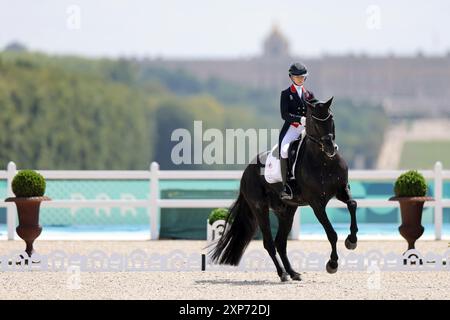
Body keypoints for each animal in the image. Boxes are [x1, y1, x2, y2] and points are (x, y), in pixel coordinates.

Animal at [209, 97, 360, 280]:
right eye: (314, 122)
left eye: (331, 118)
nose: (331, 148)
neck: (324, 161)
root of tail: (246, 171)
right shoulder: (316, 203)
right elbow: (331, 233)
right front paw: (332, 264)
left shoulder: (342, 189)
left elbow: (352, 204)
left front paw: (351, 240)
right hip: (260, 208)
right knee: (269, 243)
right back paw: (282, 273)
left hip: (286, 210)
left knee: (280, 242)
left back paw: (293, 273)